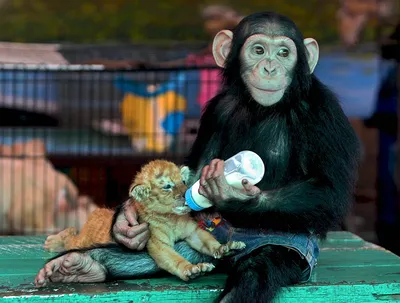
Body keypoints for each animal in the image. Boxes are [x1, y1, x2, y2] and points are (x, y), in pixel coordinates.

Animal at [34, 11, 360, 303]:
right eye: (258, 50)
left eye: (284, 52)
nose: (270, 67)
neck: (261, 107)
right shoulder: (217, 109)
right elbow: (197, 164)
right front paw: (125, 221)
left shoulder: (324, 113)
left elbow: (329, 190)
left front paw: (232, 194)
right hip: (197, 235)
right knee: (142, 257)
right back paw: (79, 265)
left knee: (255, 272)